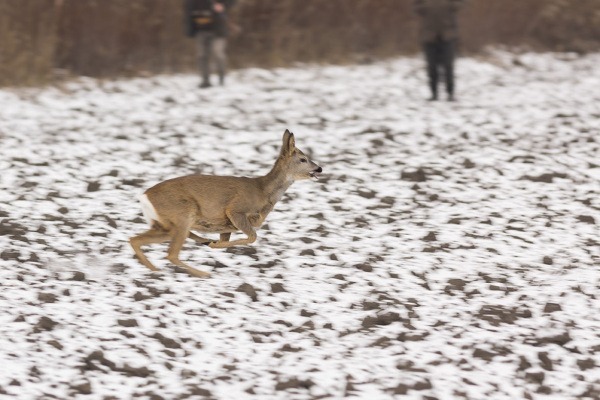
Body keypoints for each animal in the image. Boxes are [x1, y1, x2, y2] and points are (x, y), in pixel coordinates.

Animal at [128, 130, 322, 276]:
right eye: (303, 159)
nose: (319, 168)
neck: (263, 192)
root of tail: (145, 196)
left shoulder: (227, 226)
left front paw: (212, 243)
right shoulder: (235, 210)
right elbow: (253, 237)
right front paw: (214, 244)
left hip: (165, 225)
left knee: (135, 239)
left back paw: (156, 270)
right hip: (182, 214)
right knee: (171, 254)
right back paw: (203, 272)